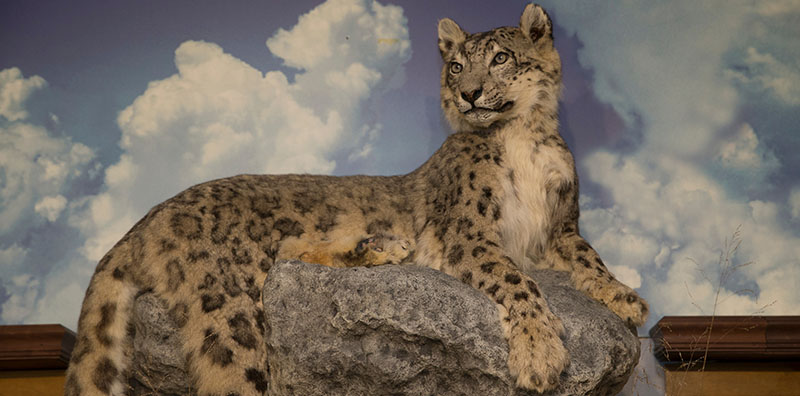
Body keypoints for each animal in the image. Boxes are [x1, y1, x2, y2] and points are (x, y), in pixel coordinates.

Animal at [64, 3, 648, 396]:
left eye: (502, 57)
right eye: (457, 66)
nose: (468, 94)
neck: (525, 137)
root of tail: (144, 222)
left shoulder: (562, 226)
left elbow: (589, 257)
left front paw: (626, 299)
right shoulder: (469, 231)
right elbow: (516, 281)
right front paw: (541, 353)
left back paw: (382, 247)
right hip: (227, 303)